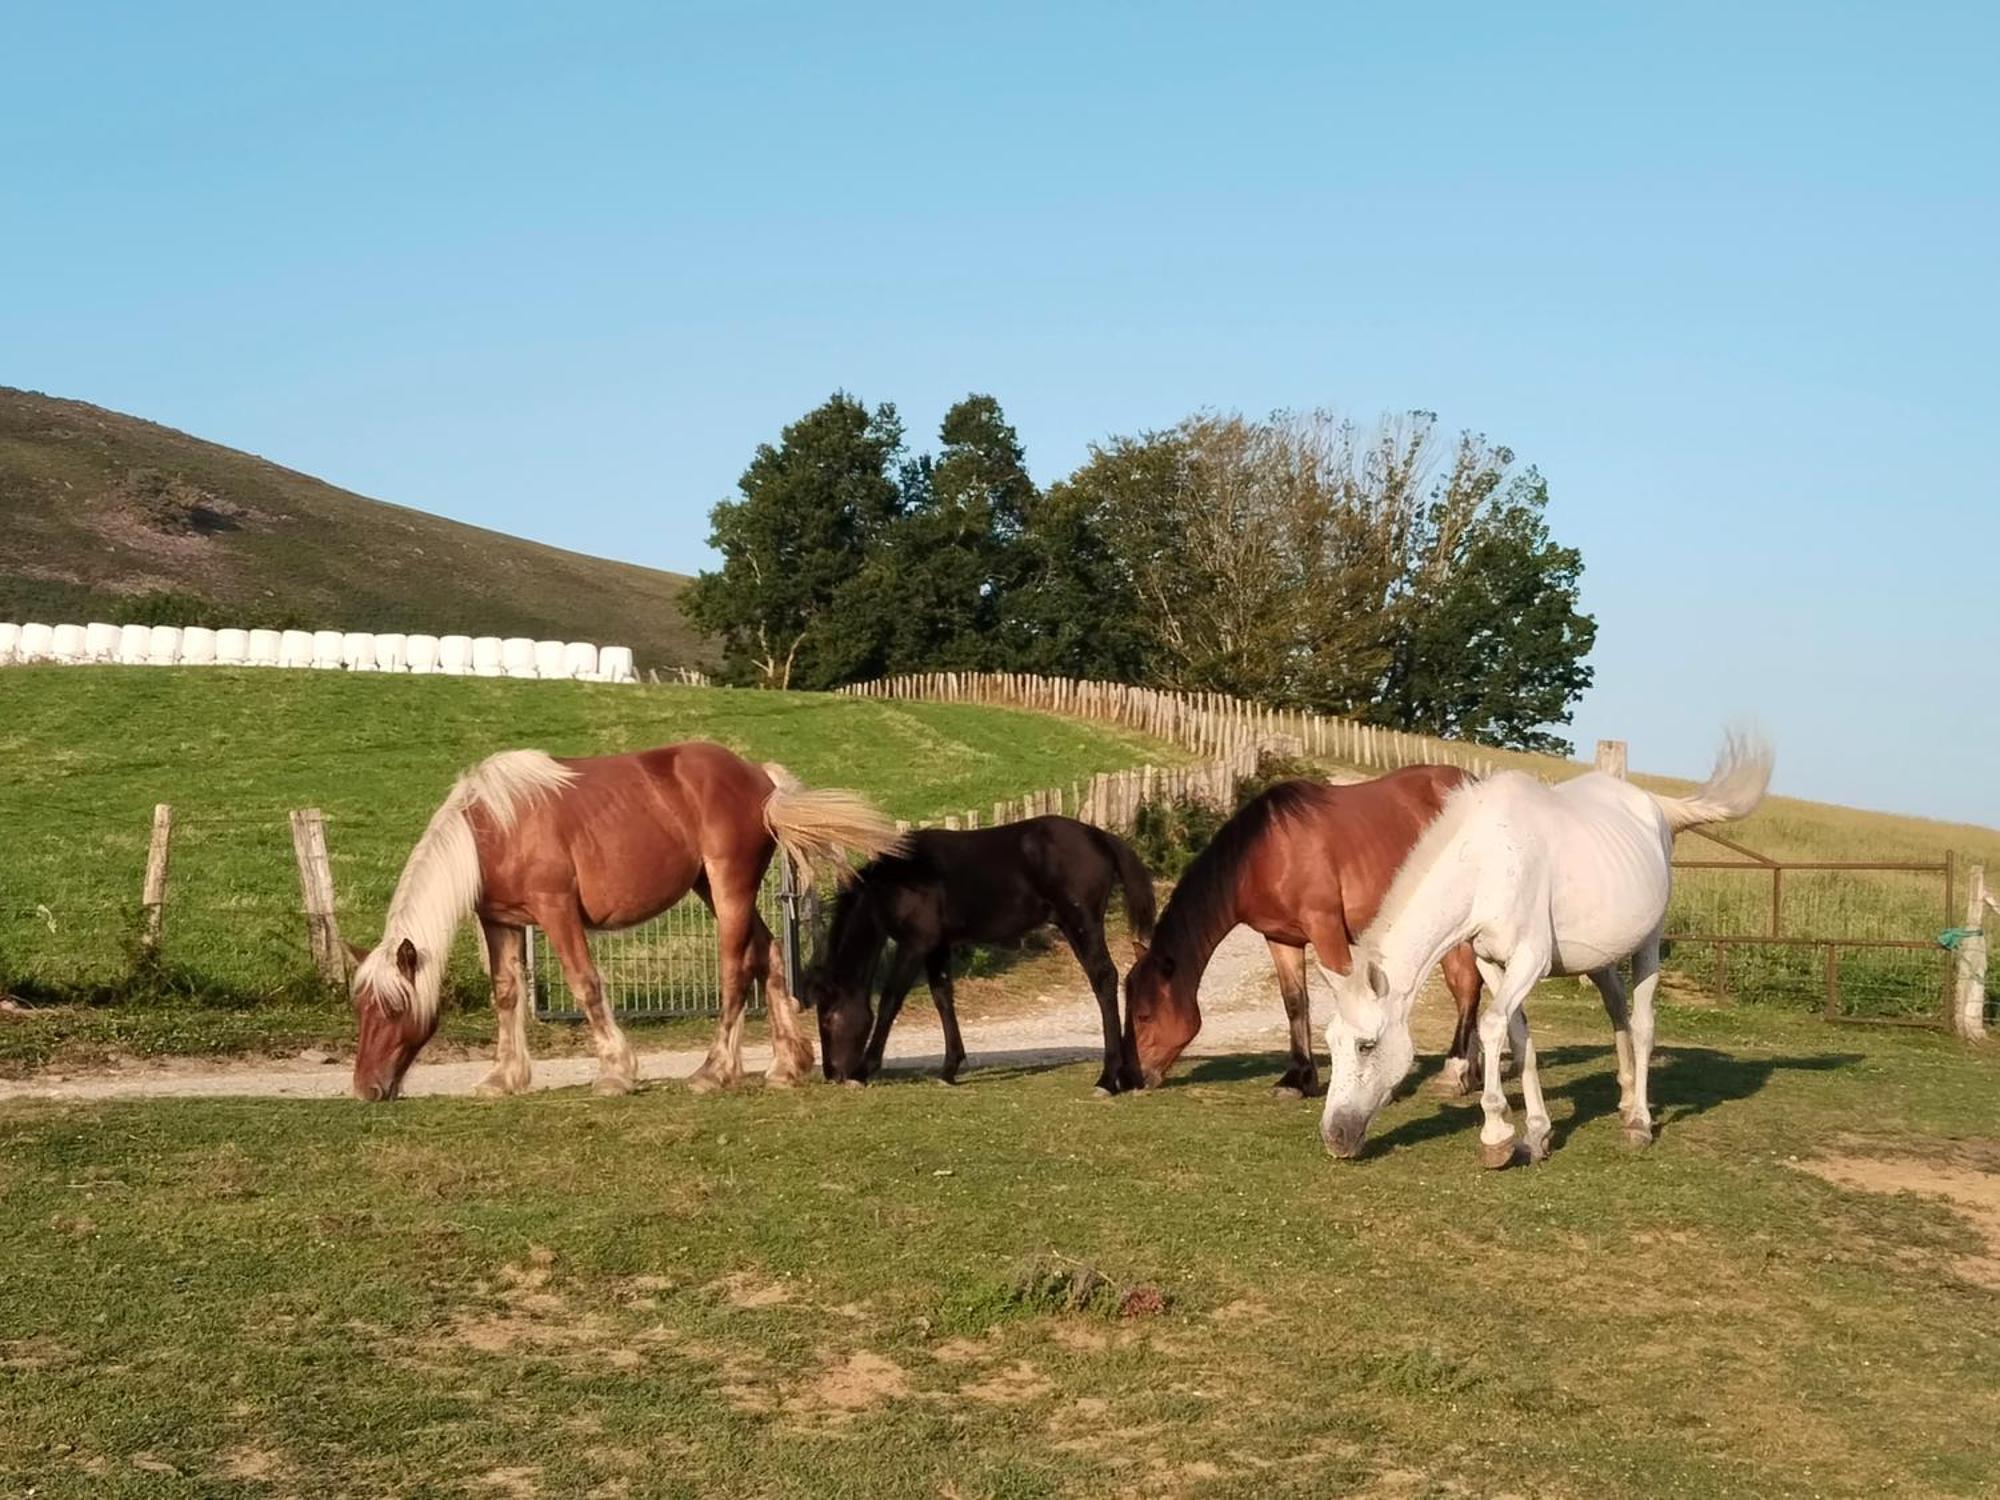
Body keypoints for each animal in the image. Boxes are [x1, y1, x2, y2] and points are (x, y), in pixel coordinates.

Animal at [350, 744, 900, 1104]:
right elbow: (506, 994)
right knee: (769, 955)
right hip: (711, 889)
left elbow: (585, 984)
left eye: (392, 1008)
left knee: (735, 968)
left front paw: (616, 1072)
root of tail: (759, 777)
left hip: (730, 887)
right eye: (361, 1008)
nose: (365, 1089)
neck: (495, 829)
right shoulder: (500, 921)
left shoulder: (556, 911)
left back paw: (713, 1071)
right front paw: (503, 1079)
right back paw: (786, 1067)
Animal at [800, 816, 1160, 1096]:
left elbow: (890, 1000)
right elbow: (942, 997)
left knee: (1104, 978)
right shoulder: (937, 946)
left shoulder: (914, 944)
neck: (897, 880)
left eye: (827, 1018)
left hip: (1082, 923)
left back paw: (1107, 1079)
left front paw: (864, 1071)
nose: (832, 1073)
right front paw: (948, 1069)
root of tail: (1100, 837)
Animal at [1128, 768, 1488, 1096]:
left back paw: (1455, 1071)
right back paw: (1474, 1072)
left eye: (1144, 1016)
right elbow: (1294, 1002)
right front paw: (1297, 1078)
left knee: (1466, 984)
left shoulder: (1325, 928)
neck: (1265, 854)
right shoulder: (1281, 939)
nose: (1134, 1078)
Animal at [1320, 740, 1776, 1176]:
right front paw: (1536, 1135)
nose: (1334, 1136)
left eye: (1366, 1045)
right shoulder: (1492, 963)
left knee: (1644, 1026)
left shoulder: (1529, 960)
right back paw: (1627, 1099)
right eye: (1331, 1042)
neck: (1488, 864)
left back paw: (1639, 1123)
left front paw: (1496, 1137)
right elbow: (1520, 1040)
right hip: (1601, 960)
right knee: (1619, 1015)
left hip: (1648, 944)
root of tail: (1653, 805)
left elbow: (1492, 1026)